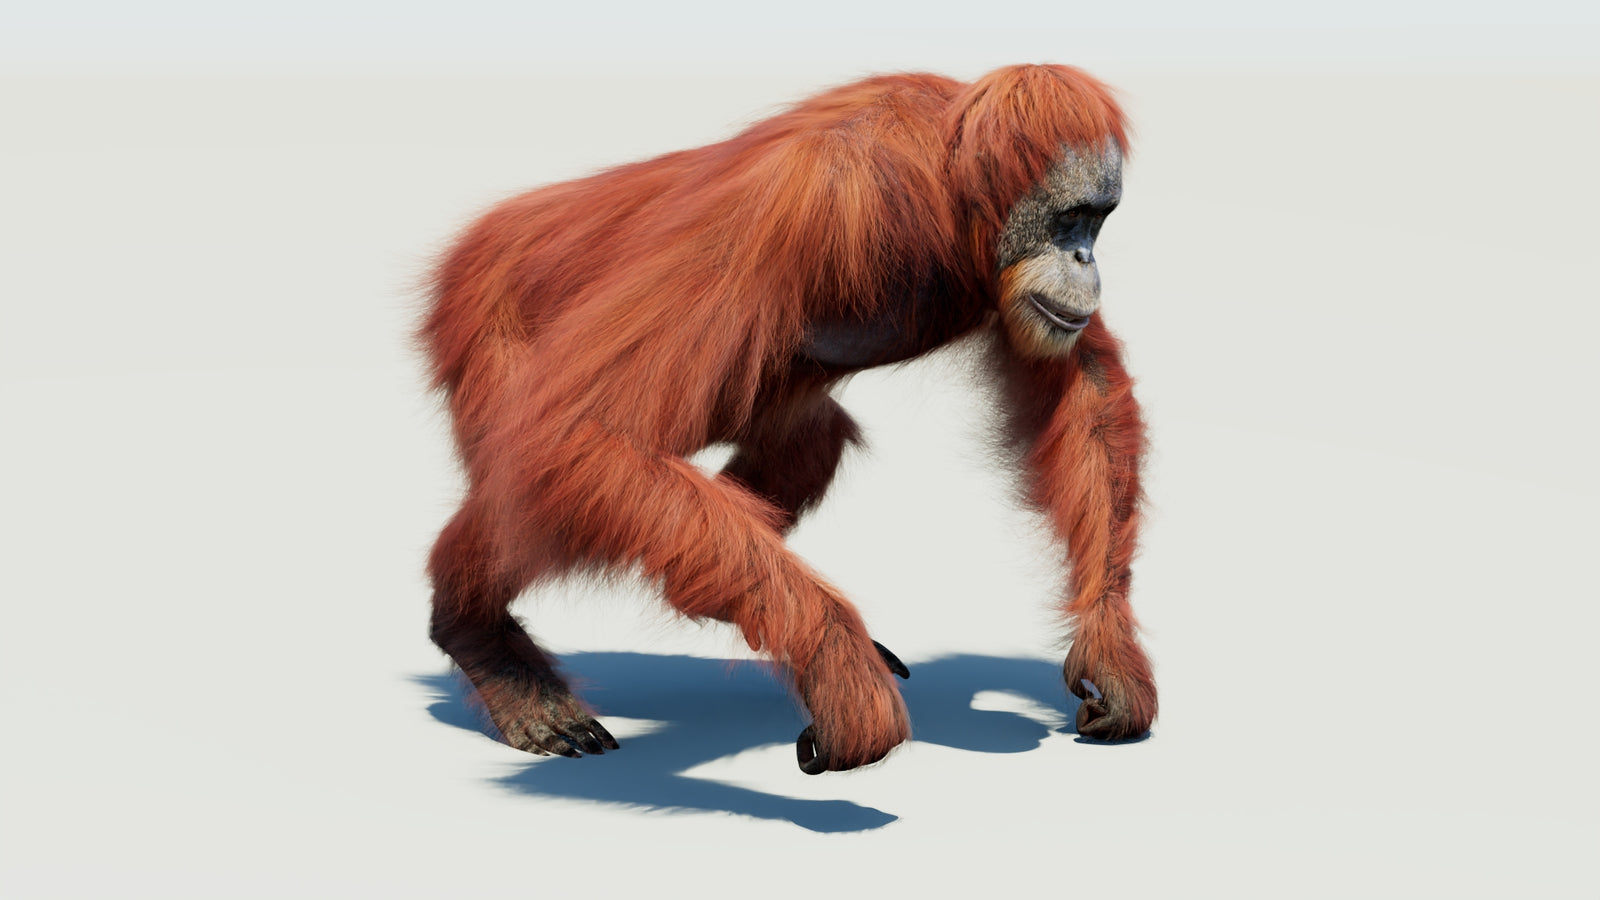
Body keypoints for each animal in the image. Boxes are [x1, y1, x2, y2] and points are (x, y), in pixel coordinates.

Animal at [420, 64, 1155, 774]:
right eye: (1068, 220)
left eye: (1097, 221)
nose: (1085, 258)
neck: (947, 194)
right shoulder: (810, 201)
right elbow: (583, 430)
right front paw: (838, 667)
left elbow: (1086, 387)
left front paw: (1109, 651)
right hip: (487, 321)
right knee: (534, 473)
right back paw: (481, 639)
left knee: (806, 440)